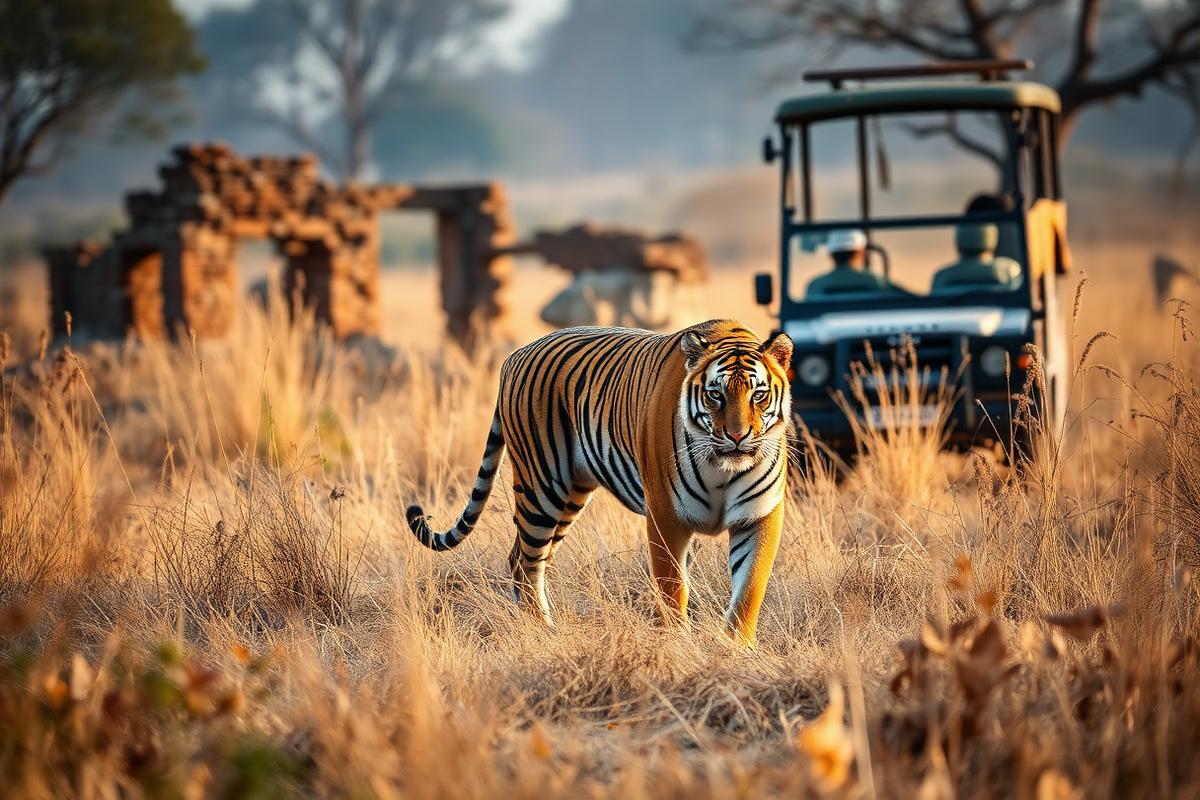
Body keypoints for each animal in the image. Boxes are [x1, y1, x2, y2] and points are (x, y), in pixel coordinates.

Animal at [405, 319, 794, 645]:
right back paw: (542, 631)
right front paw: (678, 643)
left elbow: (749, 588)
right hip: (542, 488)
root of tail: (515, 355)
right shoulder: (666, 515)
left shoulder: (759, 516)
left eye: (758, 395)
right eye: (716, 395)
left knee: (524, 557)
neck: (722, 467)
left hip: (571, 496)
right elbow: (672, 586)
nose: (737, 437)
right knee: (526, 562)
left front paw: (736, 648)